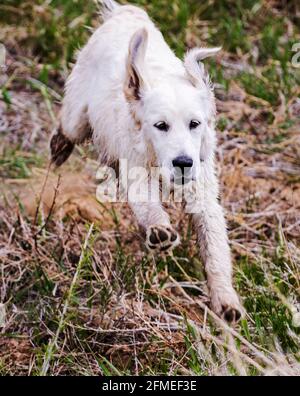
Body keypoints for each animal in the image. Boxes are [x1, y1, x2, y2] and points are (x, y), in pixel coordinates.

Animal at [51, 0, 244, 322]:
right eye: (160, 126)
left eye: (195, 123)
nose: (183, 162)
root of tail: (126, 13)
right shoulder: (136, 167)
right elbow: (148, 204)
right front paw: (160, 232)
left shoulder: (203, 186)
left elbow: (215, 242)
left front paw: (226, 299)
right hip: (78, 113)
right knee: (68, 127)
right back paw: (59, 148)